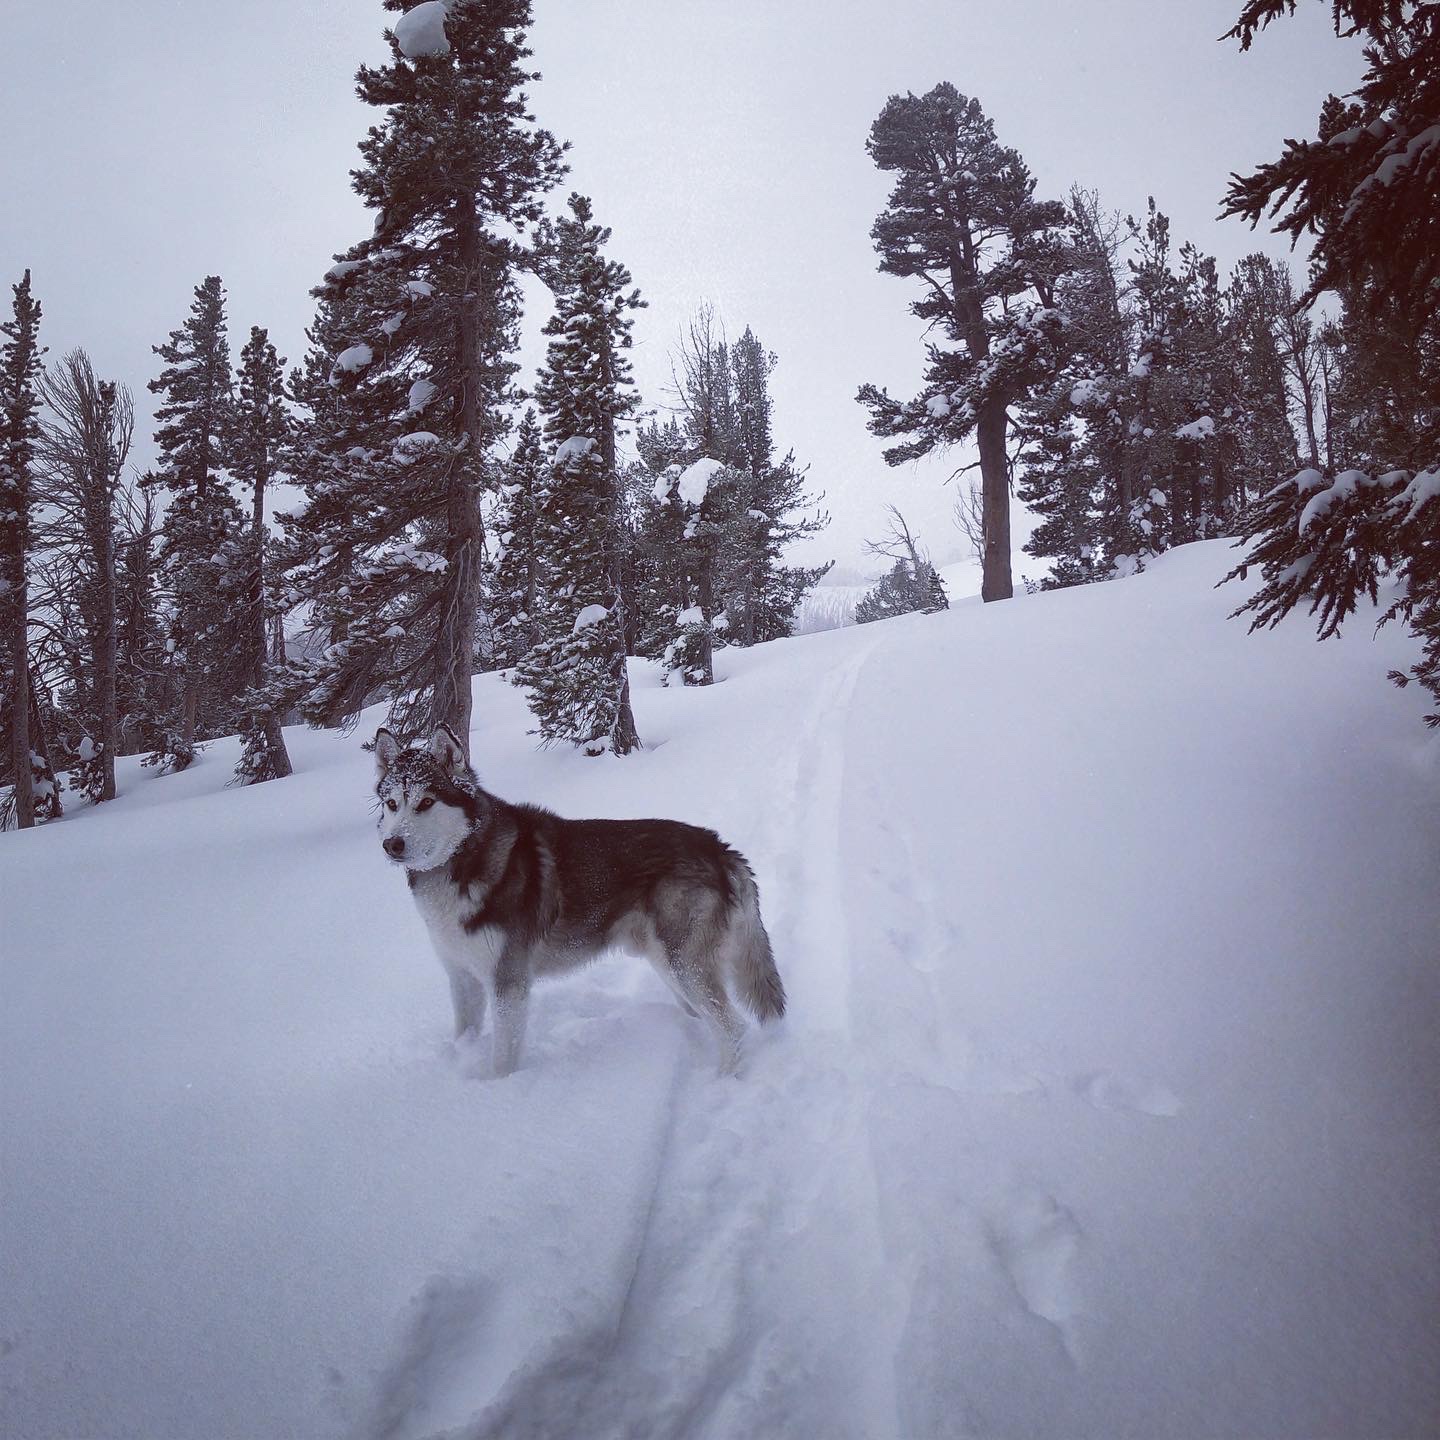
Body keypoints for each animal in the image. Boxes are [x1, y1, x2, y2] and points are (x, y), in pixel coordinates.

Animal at [365, 725, 783, 1077]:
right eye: (391, 804)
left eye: (426, 803)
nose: (391, 844)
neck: (464, 858)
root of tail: (719, 847)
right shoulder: (462, 977)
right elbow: (463, 1034)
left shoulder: (508, 982)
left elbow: (503, 1059)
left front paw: (497, 1094)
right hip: (668, 964)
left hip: (685, 965)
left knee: (732, 1026)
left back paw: (725, 1081)